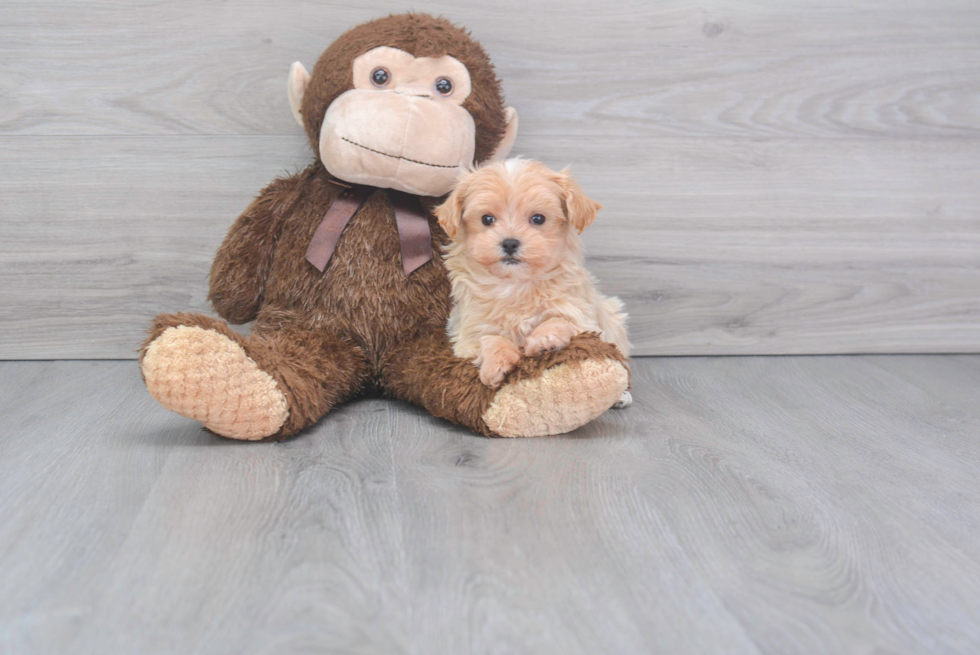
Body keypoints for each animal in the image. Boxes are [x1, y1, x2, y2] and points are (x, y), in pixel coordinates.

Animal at [434, 159, 632, 404]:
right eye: (487, 219)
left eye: (538, 219)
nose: (510, 243)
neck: (516, 283)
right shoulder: (469, 332)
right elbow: (490, 339)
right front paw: (496, 364)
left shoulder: (581, 317)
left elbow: (560, 320)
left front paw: (545, 339)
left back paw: (623, 395)